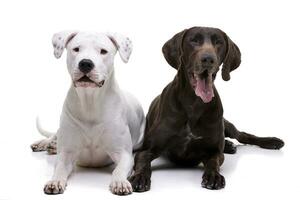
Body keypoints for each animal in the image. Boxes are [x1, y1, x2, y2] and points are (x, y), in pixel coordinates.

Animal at [31, 31, 145, 195]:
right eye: (76, 49)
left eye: (103, 51)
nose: (85, 63)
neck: (90, 101)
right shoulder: (66, 153)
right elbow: (59, 168)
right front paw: (55, 181)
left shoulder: (124, 154)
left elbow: (118, 169)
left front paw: (120, 182)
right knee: (55, 135)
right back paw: (45, 143)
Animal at [129, 26, 284, 191]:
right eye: (194, 40)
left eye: (218, 42)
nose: (208, 59)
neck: (194, 103)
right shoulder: (148, 150)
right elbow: (143, 163)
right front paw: (139, 177)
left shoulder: (214, 151)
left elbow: (213, 162)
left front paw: (214, 176)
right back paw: (230, 145)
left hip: (226, 124)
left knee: (243, 135)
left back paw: (271, 141)